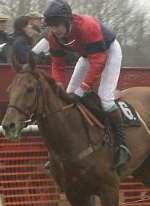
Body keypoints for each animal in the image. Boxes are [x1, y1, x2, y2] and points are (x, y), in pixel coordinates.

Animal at [2, 56, 150, 206]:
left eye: (30, 89)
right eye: (9, 90)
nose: (8, 125)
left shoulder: (110, 188)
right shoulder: (74, 193)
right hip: (143, 169)